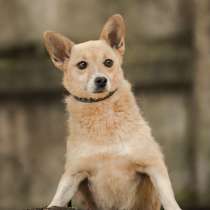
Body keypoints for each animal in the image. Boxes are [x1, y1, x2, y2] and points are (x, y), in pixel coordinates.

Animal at [43, 14, 182, 210]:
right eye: (82, 65)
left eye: (108, 62)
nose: (101, 80)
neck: (102, 110)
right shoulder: (73, 174)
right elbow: (57, 199)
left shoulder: (154, 165)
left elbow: (168, 198)